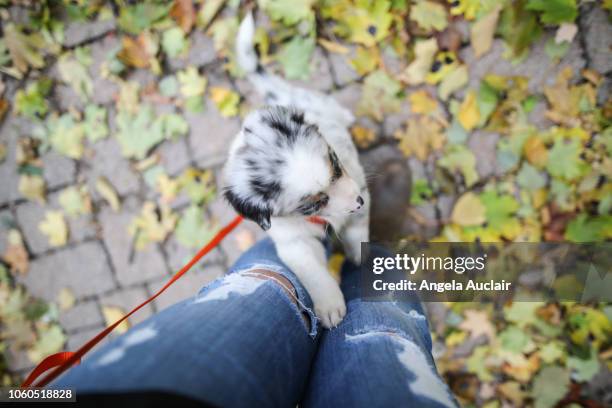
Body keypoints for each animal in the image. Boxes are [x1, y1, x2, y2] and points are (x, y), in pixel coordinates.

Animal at [222, 11, 370, 328]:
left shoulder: (358, 179)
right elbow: (310, 269)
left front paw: (357, 254)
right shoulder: (292, 241)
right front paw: (328, 304)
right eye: (312, 203)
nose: (358, 201)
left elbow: (358, 228)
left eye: (335, 164)